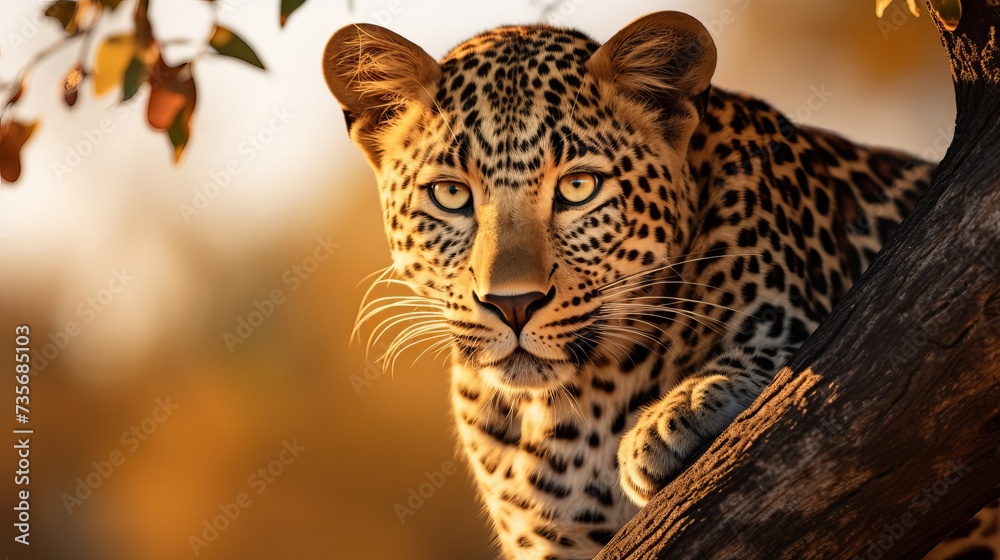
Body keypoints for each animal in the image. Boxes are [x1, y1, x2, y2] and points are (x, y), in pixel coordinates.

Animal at [322, 11, 1000, 560]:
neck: (581, 400)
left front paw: (677, 417)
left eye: (578, 187)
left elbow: (798, 360)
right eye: (451, 194)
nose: (512, 304)